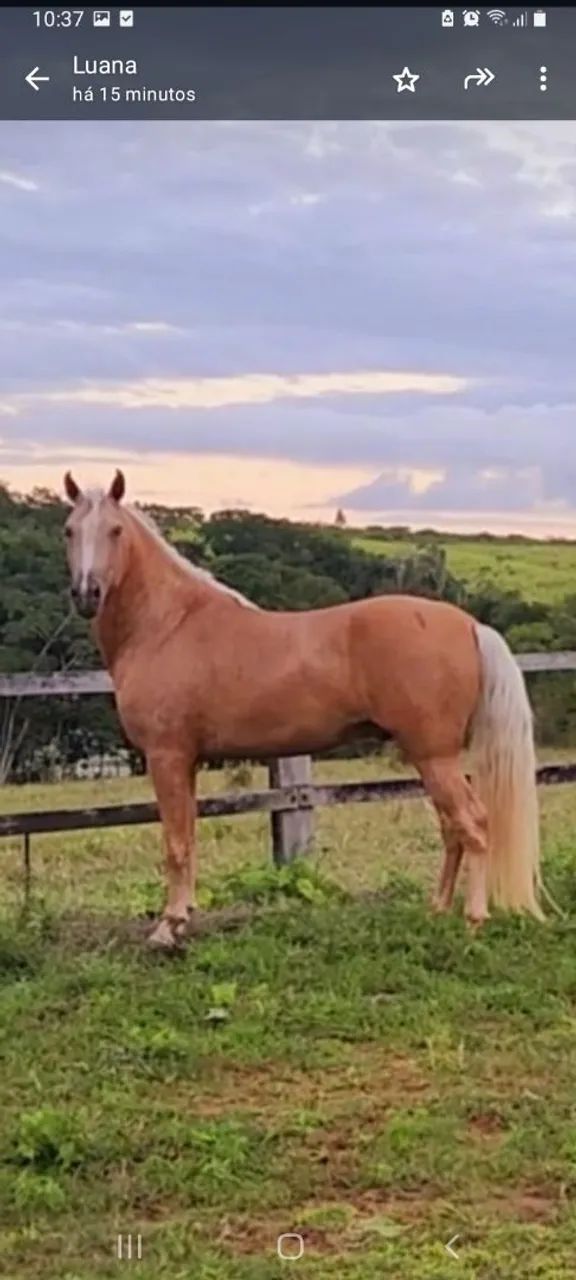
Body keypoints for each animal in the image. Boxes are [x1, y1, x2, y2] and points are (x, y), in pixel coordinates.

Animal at [62, 470, 543, 949]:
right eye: (69, 530)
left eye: (115, 530)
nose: (87, 594)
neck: (169, 625)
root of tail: (470, 625)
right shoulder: (188, 761)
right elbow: (189, 838)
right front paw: (183, 917)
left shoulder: (168, 756)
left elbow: (176, 843)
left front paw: (168, 927)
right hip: (431, 758)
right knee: (452, 828)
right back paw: (438, 909)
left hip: (435, 756)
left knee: (474, 824)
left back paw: (474, 919)